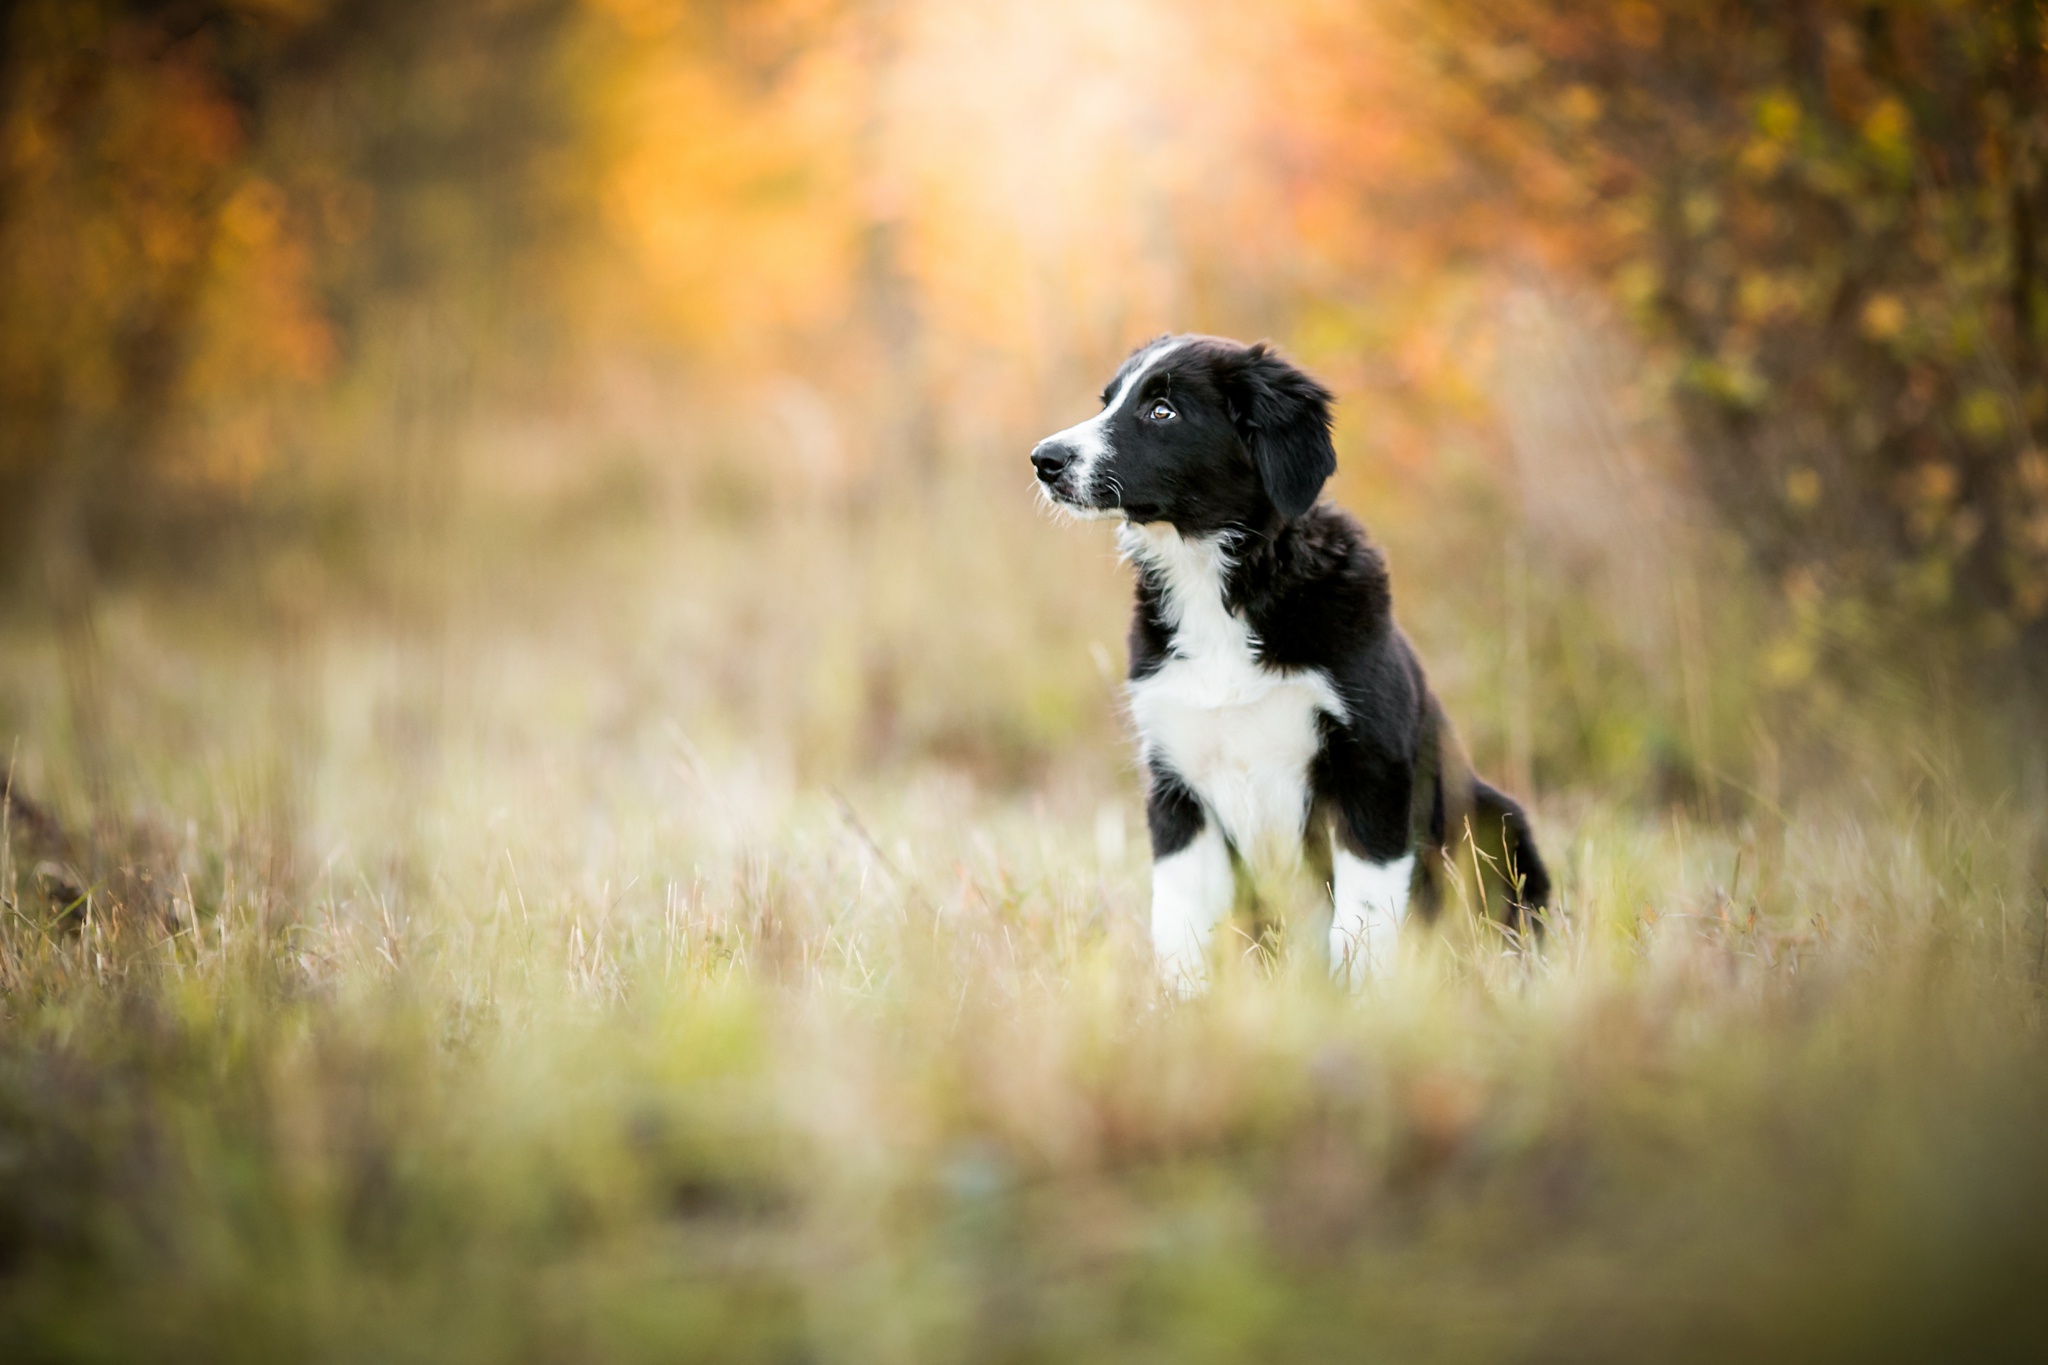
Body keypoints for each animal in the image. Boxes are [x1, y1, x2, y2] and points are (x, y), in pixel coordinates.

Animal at [1032, 331, 1540, 994]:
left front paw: (1361, 1001)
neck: (1220, 589)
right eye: (1108, 400)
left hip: (1498, 817)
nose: (1043, 459)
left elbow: (1361, 917)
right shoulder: (1176, 787)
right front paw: (1181, 1006)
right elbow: (1179, 925)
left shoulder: (1371, 769)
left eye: (1161, 411)